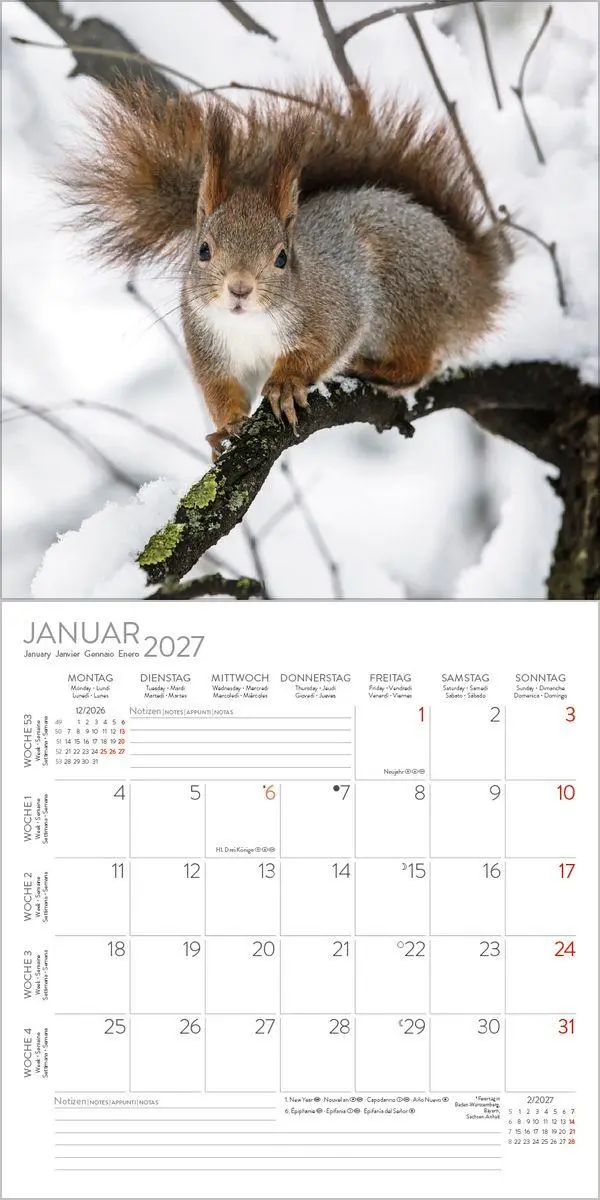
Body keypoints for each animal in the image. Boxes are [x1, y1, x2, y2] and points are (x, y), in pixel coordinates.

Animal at [61, 81, 509, 458]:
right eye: (203, 250)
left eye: (281, 257)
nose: (240, 288)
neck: (249, 325)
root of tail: (474, 284)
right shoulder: (208, 345)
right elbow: (220, 390)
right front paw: (226, 427)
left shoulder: (335, 307)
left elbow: (320, 347)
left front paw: (285, 384)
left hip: (408, 296)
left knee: (418, 364)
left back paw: (371, 367)